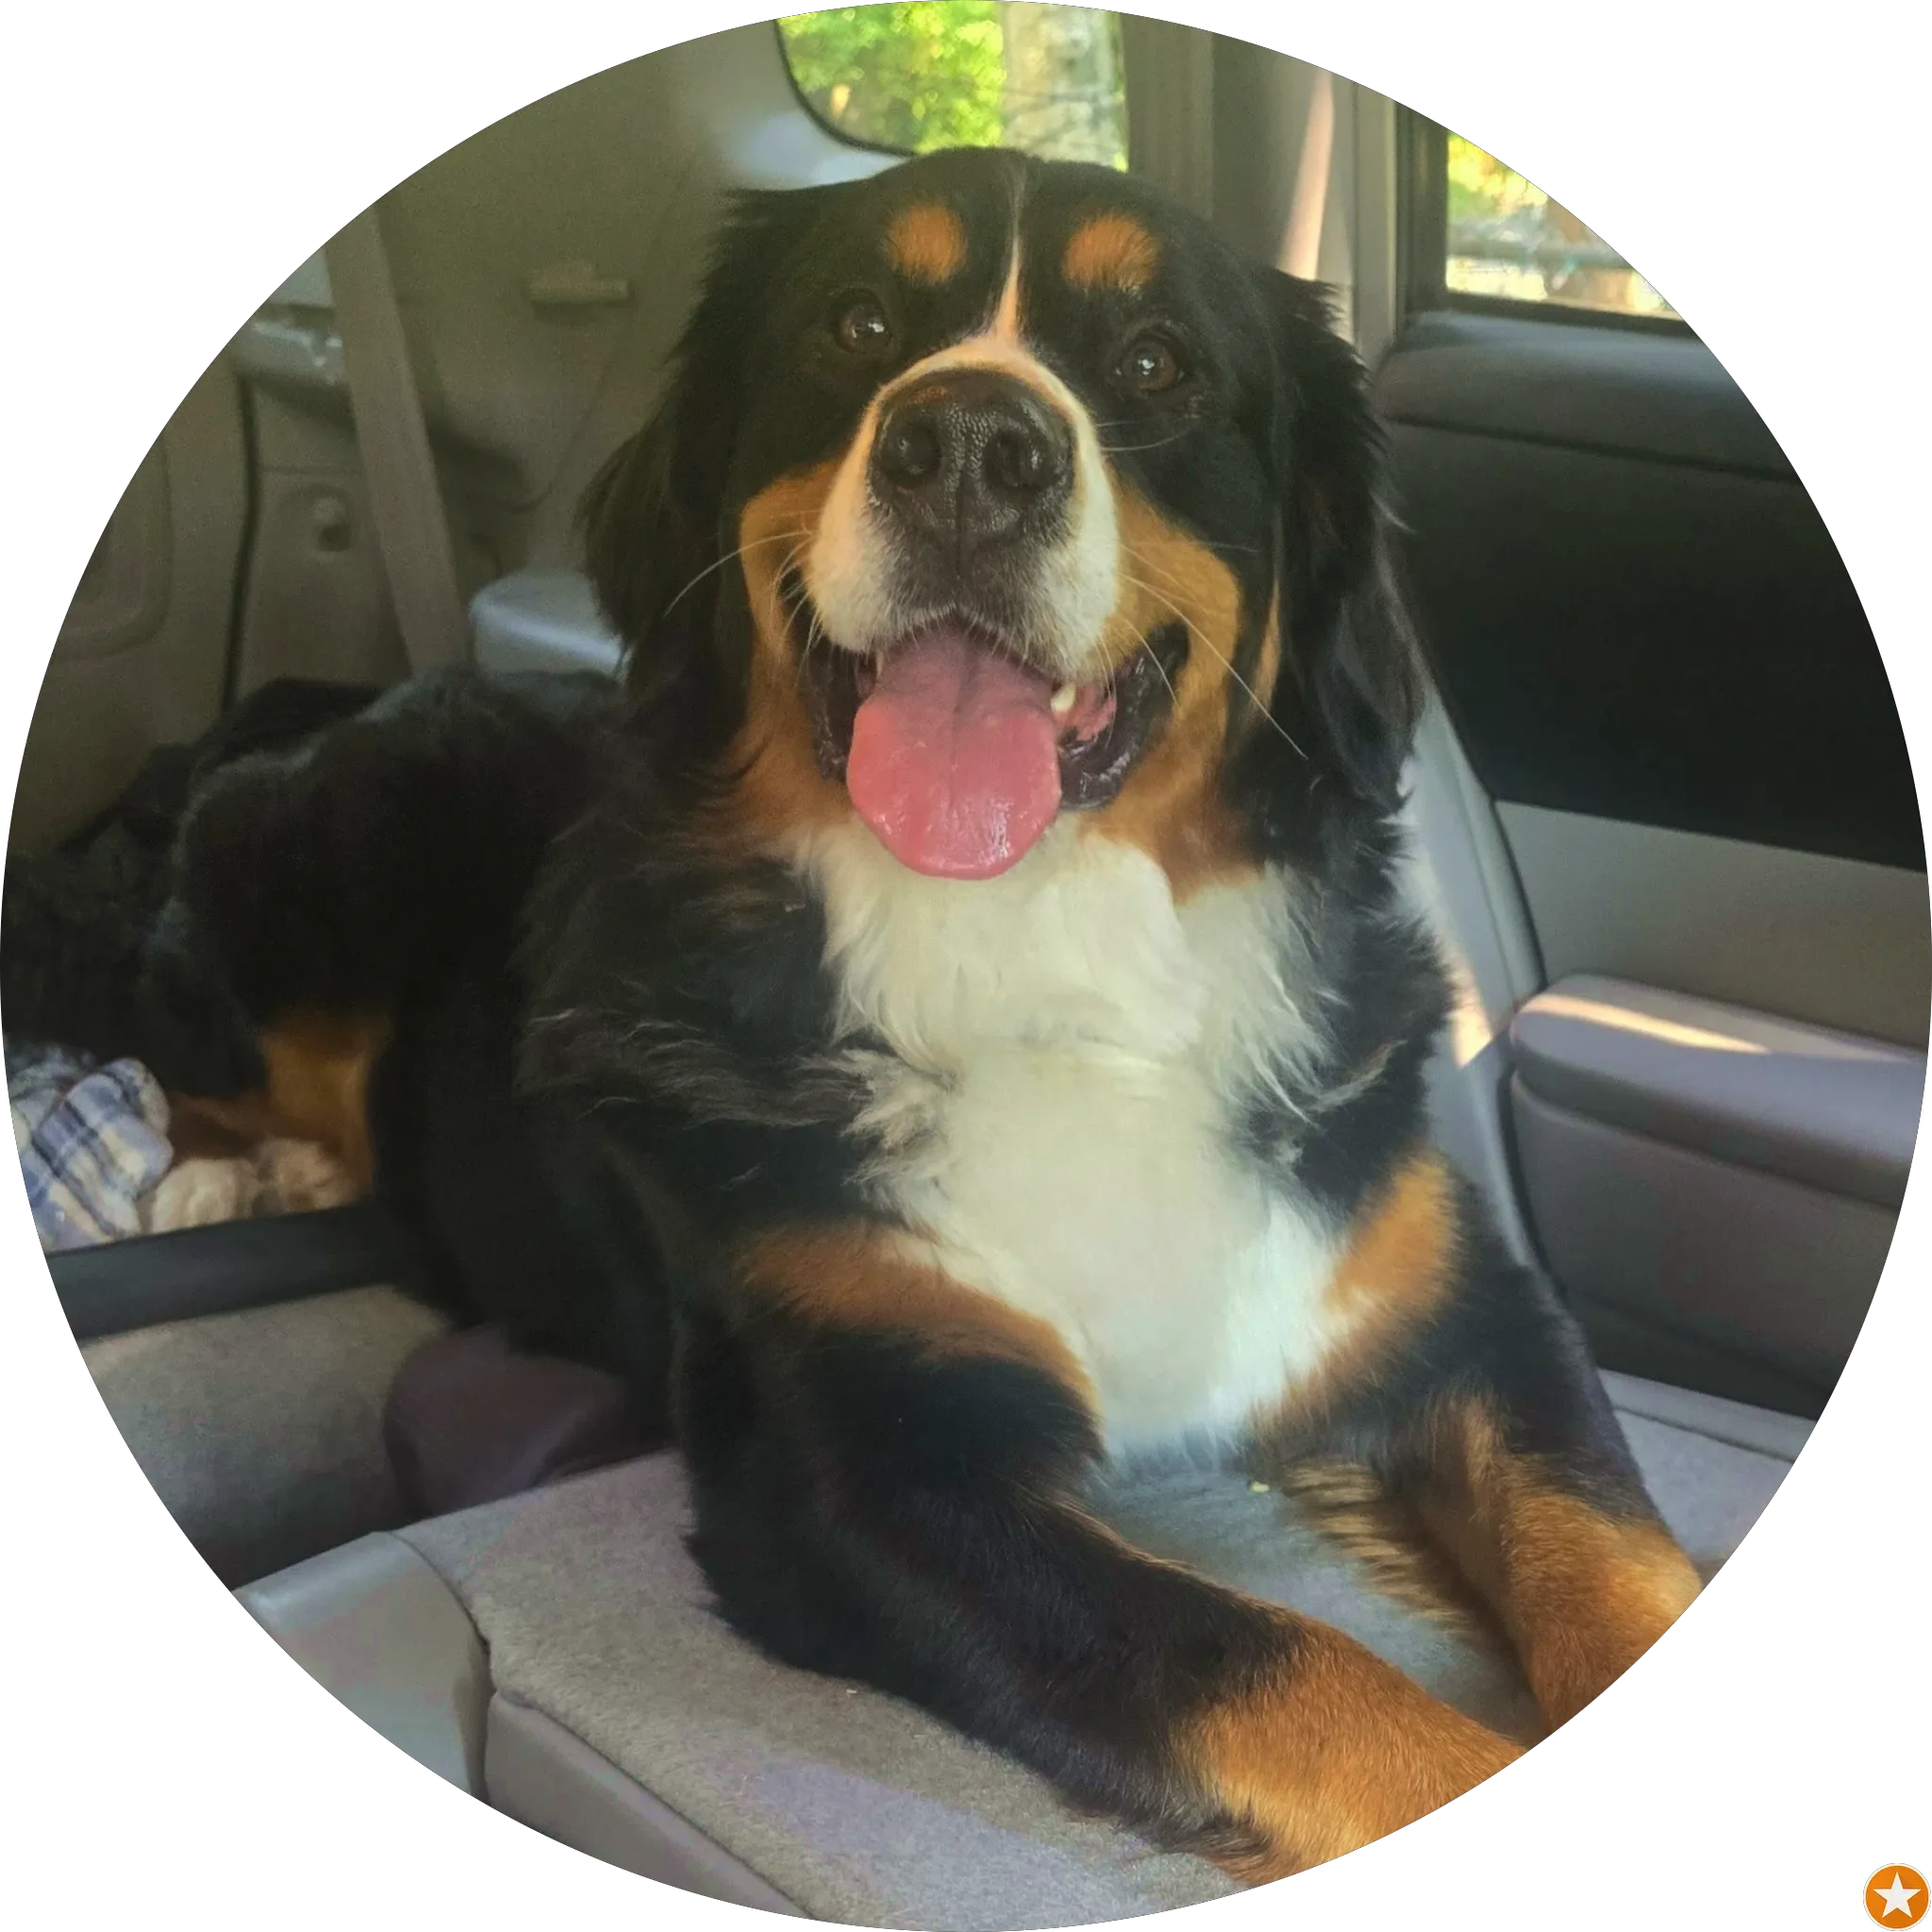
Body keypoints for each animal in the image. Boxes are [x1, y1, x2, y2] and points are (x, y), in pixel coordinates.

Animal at [14, 147, 1703, 1883]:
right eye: (859, 322)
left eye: (1157, 359)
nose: (970, 450)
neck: (1036, 948)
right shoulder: (871, 1467)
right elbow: (1290, 1666)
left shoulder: (1469, 1312)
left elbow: (1615, 1560)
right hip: (322, 852)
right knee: (190, 1044)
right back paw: (224, 1174)